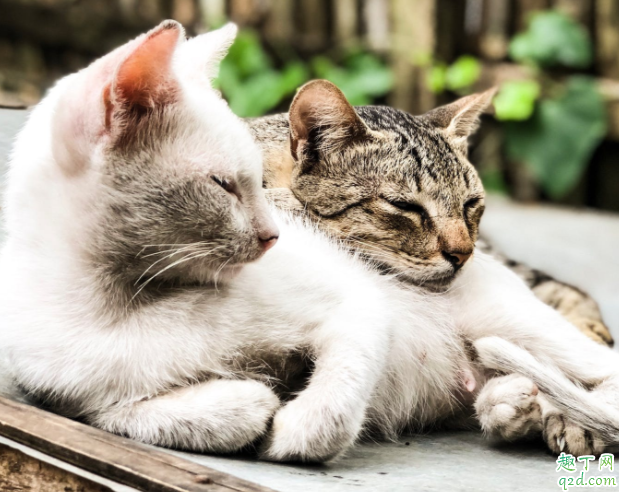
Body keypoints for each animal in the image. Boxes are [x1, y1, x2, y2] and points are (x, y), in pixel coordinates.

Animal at [2, 20, 616, 466]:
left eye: (471, 205)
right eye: (405, 209)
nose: (463, 253)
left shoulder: (355, 305)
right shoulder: (84, 398)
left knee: (597, 363)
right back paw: (515, 404)